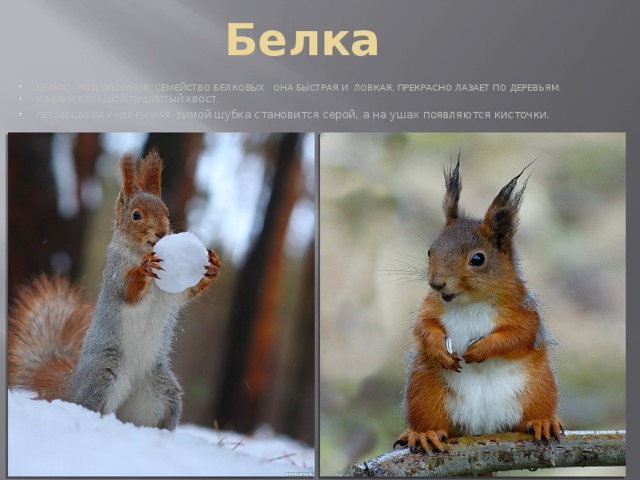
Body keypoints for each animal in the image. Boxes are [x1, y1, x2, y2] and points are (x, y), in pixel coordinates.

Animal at [8, 150, 221, 431]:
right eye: (136, 215)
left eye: (167, 212)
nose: (162, 232)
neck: (140, 251)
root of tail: (71, 387)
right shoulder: (115, 274)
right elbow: (127, 290)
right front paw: (144, 269)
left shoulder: (170, 293)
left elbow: (184, 293)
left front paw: (212, 268)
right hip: (103, 376)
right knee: (90, 403)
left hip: (163, 392)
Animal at [394, 157, 563, 452]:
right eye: (430, 251)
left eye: (478, 259)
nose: (437, 283)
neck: (470, 300)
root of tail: (483, 427)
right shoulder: (431, 306)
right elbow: (424, 327)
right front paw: (439, 350)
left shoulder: (524, 310)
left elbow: (520, 334)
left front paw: (481, 350)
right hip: (426, 392)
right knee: (431, 420)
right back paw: (424, 433)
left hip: (539, 388)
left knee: (533, 413)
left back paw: (543, 422)